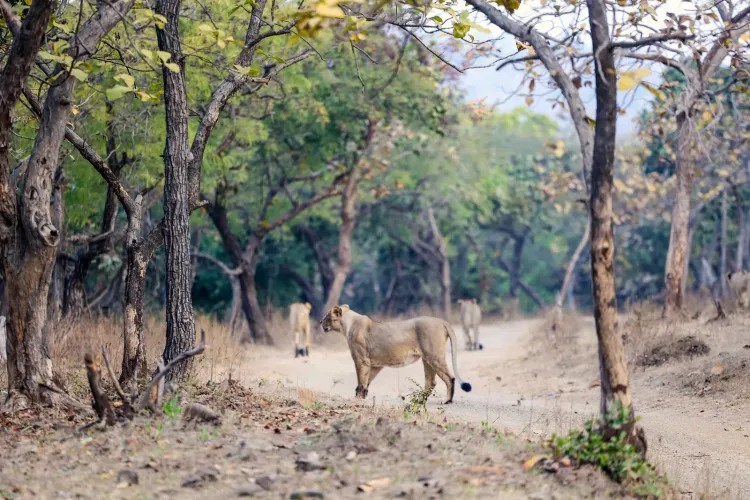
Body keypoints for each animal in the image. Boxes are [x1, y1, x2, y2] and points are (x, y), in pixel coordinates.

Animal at [319, 305, 472, 403]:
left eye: (327, 315)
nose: (320, 321)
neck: (347, 325)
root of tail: (441, 321)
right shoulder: (375, 364)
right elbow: (367, 381)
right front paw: (361, 397)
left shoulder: (361, 360)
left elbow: (361, 381)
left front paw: (357, 399)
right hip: (427, 359)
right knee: (430, 382)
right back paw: (419, 400)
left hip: (434, 356)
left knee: (449, 378)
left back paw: (447, 400)